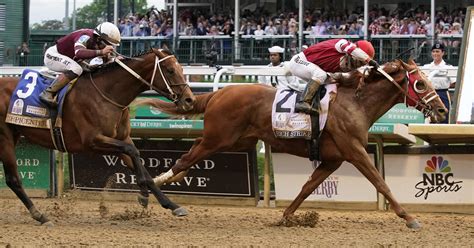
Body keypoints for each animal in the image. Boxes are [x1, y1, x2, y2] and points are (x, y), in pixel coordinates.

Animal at [0, 47, 195, 226]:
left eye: (181, 69)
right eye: (170, 70)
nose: (189, 100)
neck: (107, 93)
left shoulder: (121, 139)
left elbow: (139, 162)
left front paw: (170, 204)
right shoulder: (93, 141)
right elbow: (132, 152)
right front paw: (144, 195)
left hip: (14, 134)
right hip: (5, 138)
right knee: (13, 179)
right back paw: (40, 216)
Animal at [137, 59, 448, 229]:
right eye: (420, 84)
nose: (442, 110)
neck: (356, 102)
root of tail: (218, 93)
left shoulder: (333, 159)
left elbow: (308, 187)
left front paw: (286, 216)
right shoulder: (355, 151)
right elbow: (381, 183)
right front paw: (409, 217)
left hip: (233, 141)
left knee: (189, 160)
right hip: (218, 138)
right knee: (184, 159)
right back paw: (152, 188)